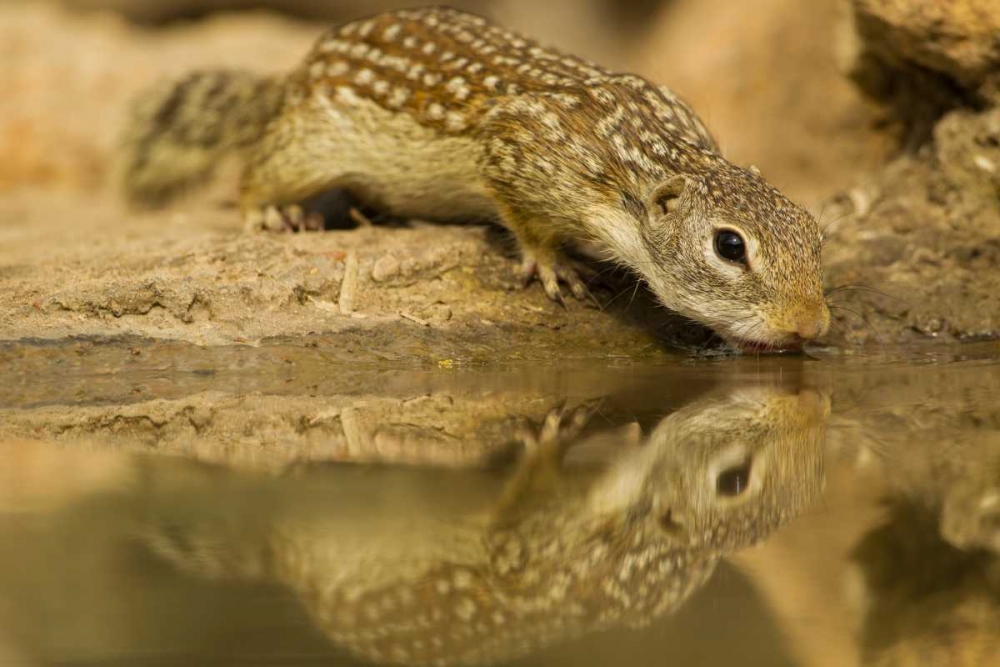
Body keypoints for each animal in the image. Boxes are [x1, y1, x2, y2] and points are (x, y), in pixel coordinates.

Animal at [119, 6, 831, 351]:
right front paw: (553, 265)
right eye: (729, 246)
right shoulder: (515, 154)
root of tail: (298, 70)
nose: (810, 326)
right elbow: (524, 222)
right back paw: (271, 211)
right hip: (306, 145)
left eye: (816, 235)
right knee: (255, 168)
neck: (643, 157)